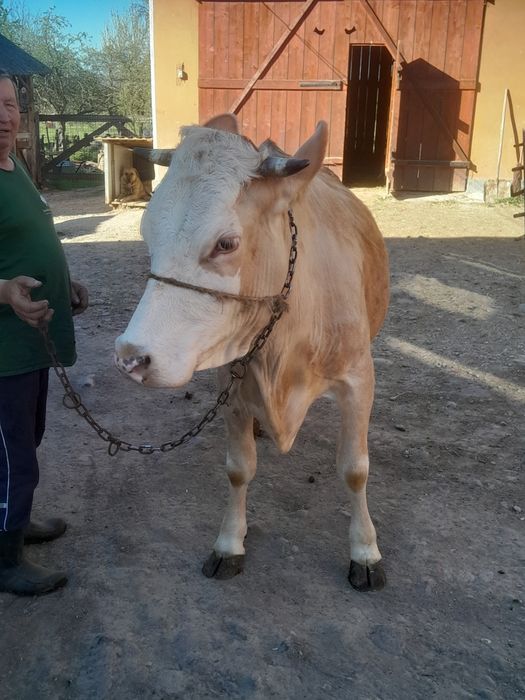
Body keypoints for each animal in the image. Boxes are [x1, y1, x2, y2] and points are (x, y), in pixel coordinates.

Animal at [114, 114, 389, 592]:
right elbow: (239, 468)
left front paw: (365, 551)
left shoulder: (359, 378)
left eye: (226, 244)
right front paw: (229, 543)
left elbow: (355, 469)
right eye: (147, 233)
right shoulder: (231, 383)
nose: (131, 357)